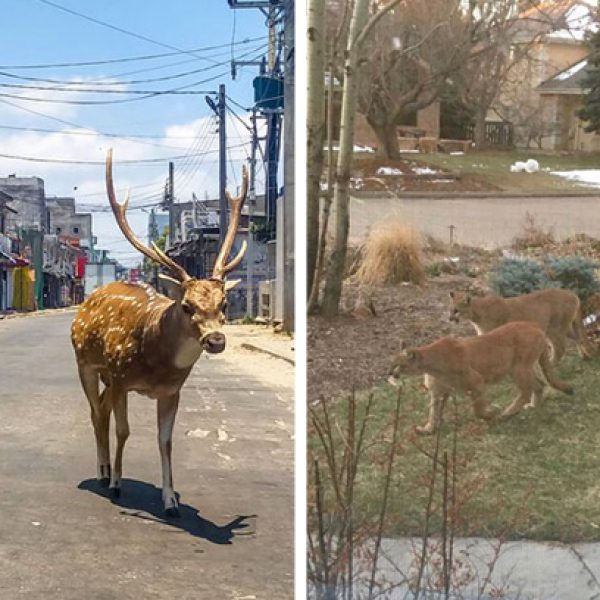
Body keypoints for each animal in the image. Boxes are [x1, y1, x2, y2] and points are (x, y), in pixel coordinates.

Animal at [71, 150, 247, 516]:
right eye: (187, 306)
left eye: (223, 304)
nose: (216, 340)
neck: (155, 362)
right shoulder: (121, 376)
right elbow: (124, 431)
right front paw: (118, 485)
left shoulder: (171, 391)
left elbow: (165, 441)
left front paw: (170, 500)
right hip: (85, 362)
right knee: (95, 412)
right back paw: (102, 473)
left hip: (106, 376)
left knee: (102, 409)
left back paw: (106, 469)